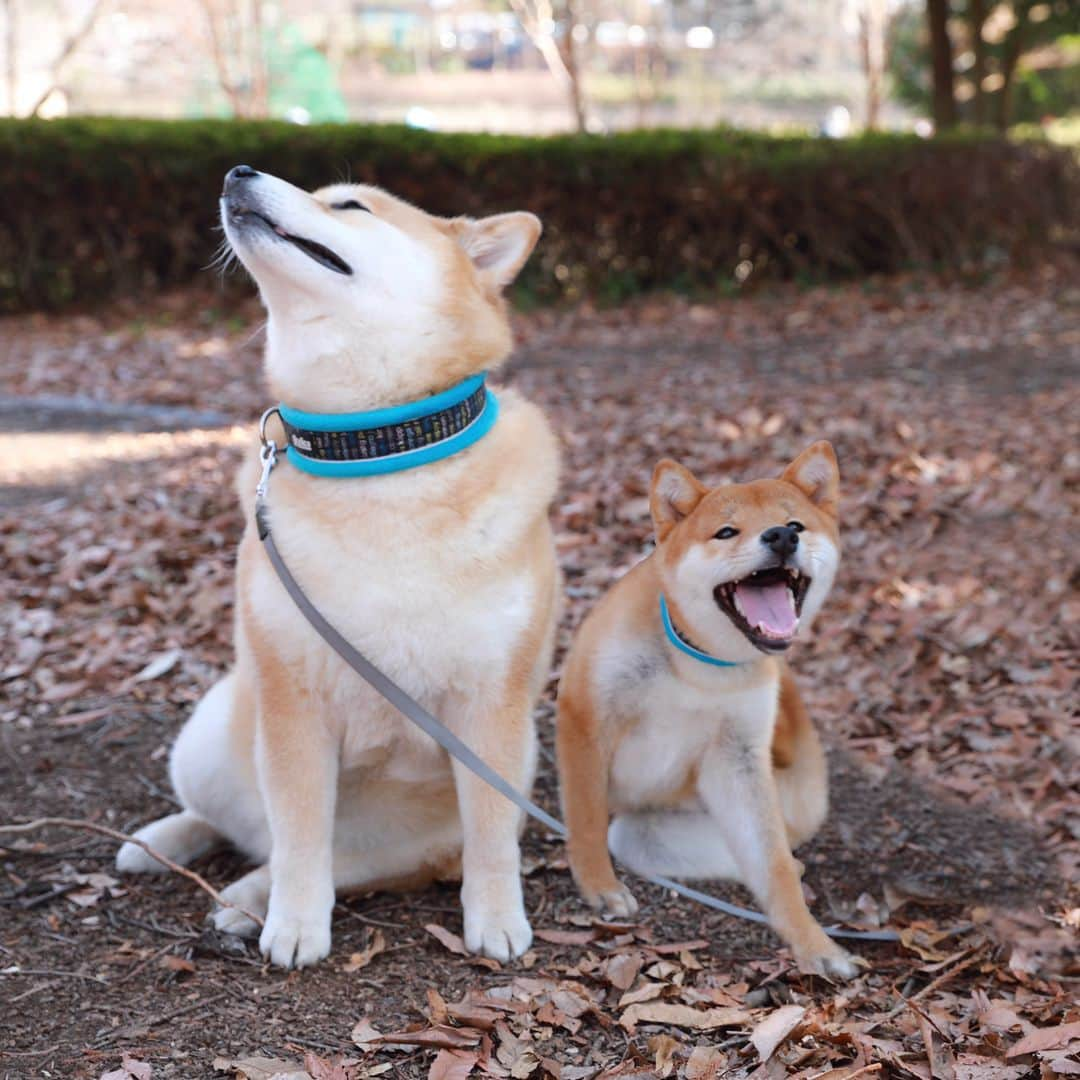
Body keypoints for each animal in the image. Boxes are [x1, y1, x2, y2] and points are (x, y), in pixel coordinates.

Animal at [115, 168, 561, 972]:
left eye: (350, 204)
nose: (238, 173)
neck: (377, 451)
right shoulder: (292, 701)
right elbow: (299, 838)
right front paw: (295, 924)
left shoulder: (493, 708)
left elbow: (491, 839)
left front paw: (496, 919)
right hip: (214, 731)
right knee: (239, 828)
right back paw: (168, 847)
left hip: (449, 811)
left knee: (341, 863)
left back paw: (244, 895)